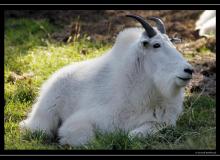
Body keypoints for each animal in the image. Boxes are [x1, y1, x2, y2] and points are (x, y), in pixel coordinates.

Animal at [19, 14, 194, 146]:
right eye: (156, 45)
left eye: (171, 43)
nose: (189, 70)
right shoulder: (83, 120)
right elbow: (84, 137)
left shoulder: (161, 122)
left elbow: (134, 135)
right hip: (46, 113)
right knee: (38, 129)